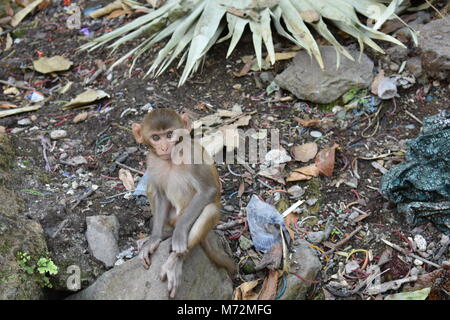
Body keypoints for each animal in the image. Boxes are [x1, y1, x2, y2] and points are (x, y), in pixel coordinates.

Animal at [131, 109, 236, 298]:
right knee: (151, 186)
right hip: (171, 217)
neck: (171, 159)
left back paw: (174, 261)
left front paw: (179, 235)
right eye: (156, 137)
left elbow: (207, 191)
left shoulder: (192, 155)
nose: (164, 147)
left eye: (170, 134)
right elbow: (160, 193)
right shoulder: (152, 161)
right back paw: (166, 233)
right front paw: (154, 238)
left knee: (209, 210)